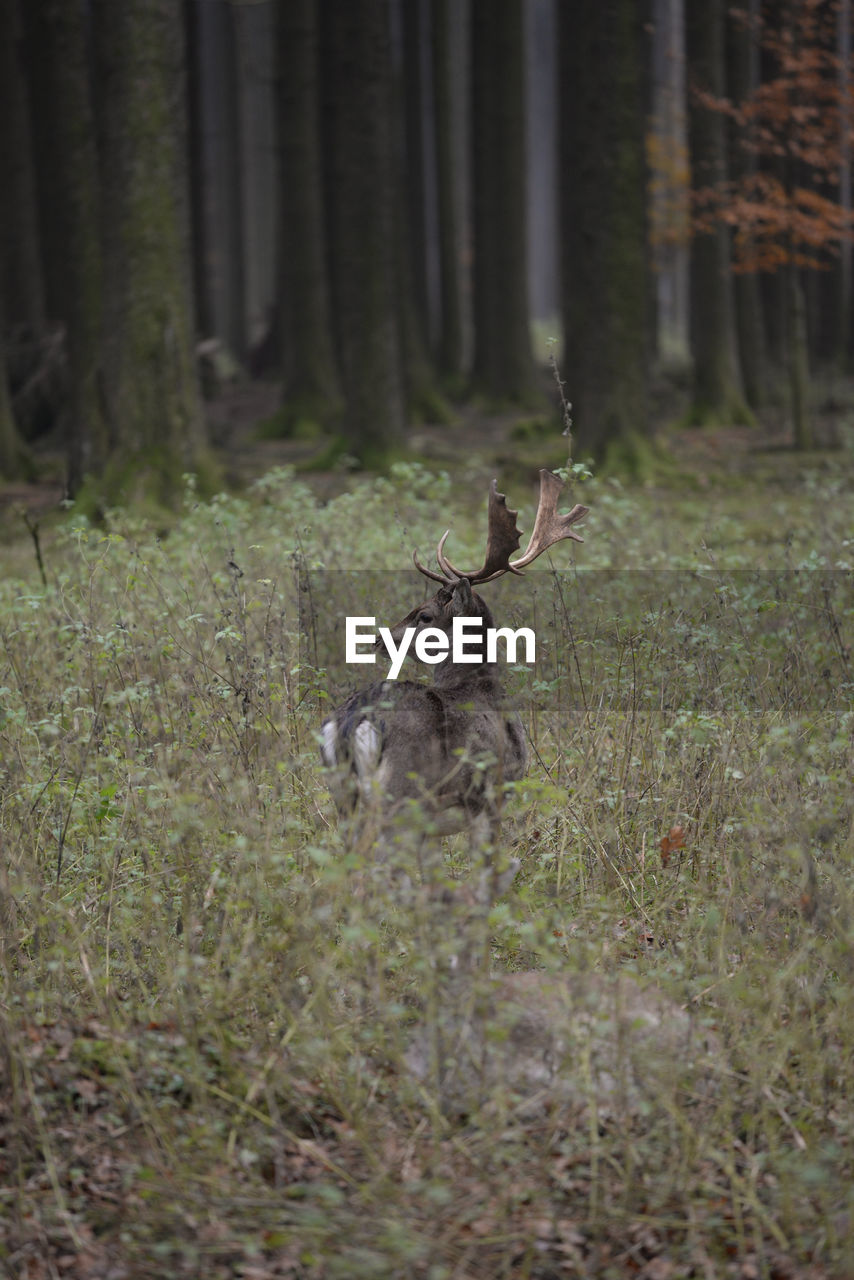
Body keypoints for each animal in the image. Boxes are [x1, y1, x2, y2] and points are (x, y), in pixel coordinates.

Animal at [317, 471, 591, 880]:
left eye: (424, 614)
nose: (379, 638)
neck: (476, 684)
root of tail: (353, 719)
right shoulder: (492, 795)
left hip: (343, 794)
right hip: (399, 793)